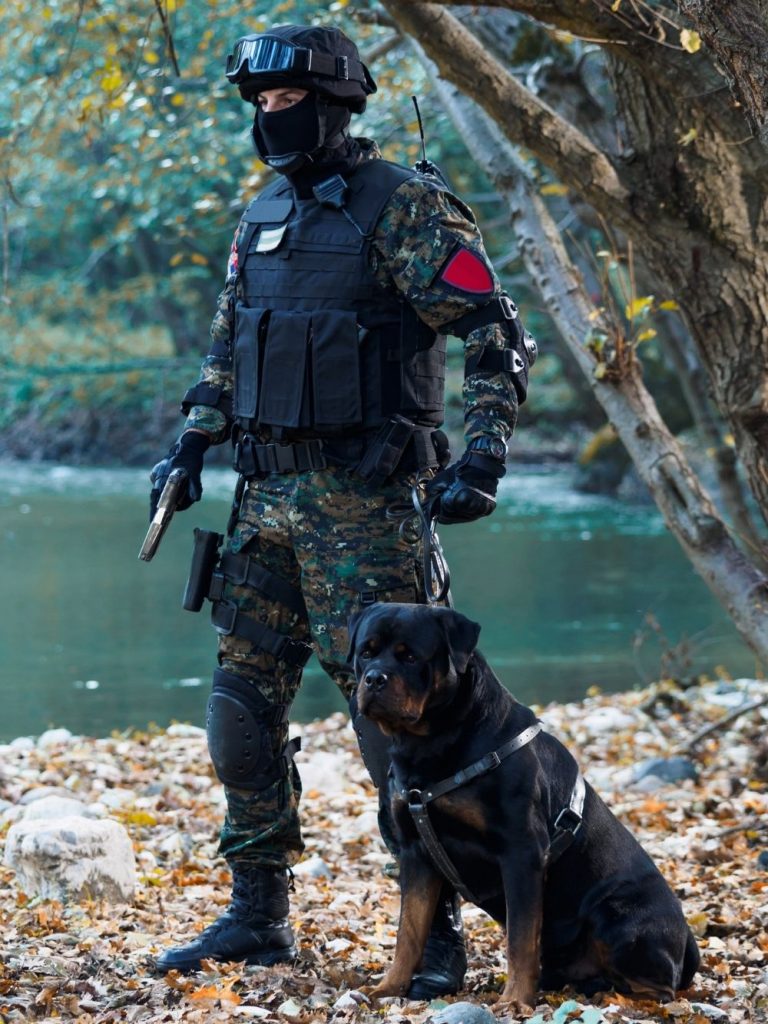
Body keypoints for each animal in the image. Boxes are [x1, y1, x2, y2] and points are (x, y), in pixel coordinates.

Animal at [352, 598, 700, 1007]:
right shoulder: (416, 852)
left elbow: (520, 939)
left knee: (661, 989)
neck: (429, 743)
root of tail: (687, 941)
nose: (374, 678)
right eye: (366, 652)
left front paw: (515, 999)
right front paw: (388, 987)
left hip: (616, 916)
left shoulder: (521, 850)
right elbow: (408, 932)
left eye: (409, 656)